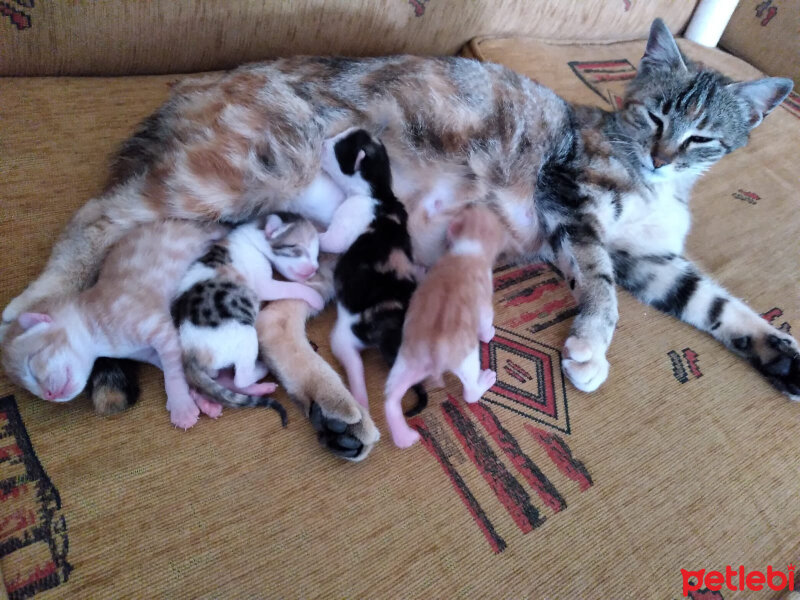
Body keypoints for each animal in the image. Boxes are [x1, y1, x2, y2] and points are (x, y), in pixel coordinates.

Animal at [2, 223, 225, 428]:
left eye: (31, 364)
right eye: (32, 391)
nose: (49, 395)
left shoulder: (161, 330)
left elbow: (174, 372)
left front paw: (181, 406)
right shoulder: (148, 353)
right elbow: (180, 371)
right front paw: (204, 398)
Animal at [173, 213, 324, 420]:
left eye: (317, 254)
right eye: (295, 247)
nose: (314, 269)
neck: (251, 237)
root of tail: (189, 355)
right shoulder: (265, 284)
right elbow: (292, 287)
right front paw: (316, 298)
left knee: (221, 379)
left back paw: (257, 390)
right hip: (245, 334)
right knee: (240, 379)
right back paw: (261, 370)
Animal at [318, 129, 424, 414]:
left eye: (337, 147)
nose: (322, 142)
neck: (379, 192)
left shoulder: (349, 216)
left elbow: (329, 240)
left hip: (342, 337)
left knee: (353, 365)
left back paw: (360, 400)